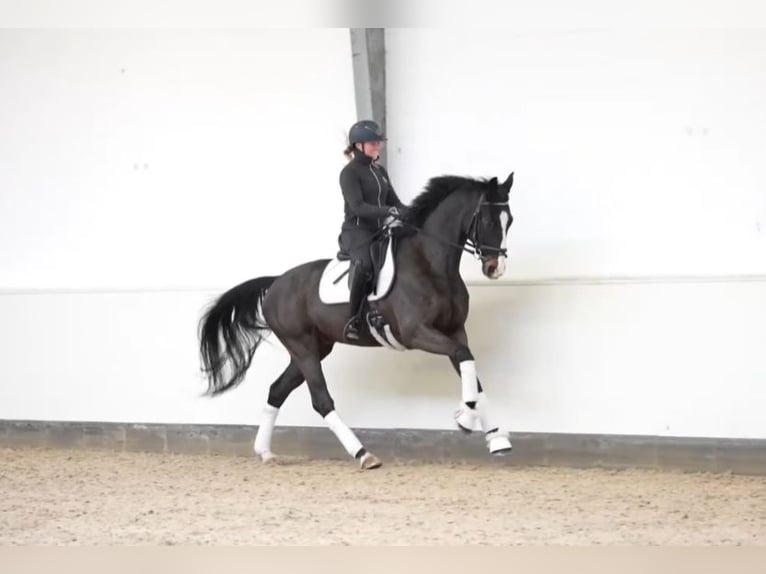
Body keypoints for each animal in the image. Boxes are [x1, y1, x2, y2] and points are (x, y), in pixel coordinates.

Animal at [201, 171, 520, 472]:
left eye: (510, 221)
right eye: (488, 220)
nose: (496, 268)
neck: (430, 263)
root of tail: (276, 282)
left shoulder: (454, 330)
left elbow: (471, 369)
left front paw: (496, 438)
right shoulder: (416, 333)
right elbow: (465, 357)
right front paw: (465, 418)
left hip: (313, 348)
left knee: (277, 390)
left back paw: (265, 452)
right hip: (303, 348)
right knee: (321, 400)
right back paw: (364, 455)